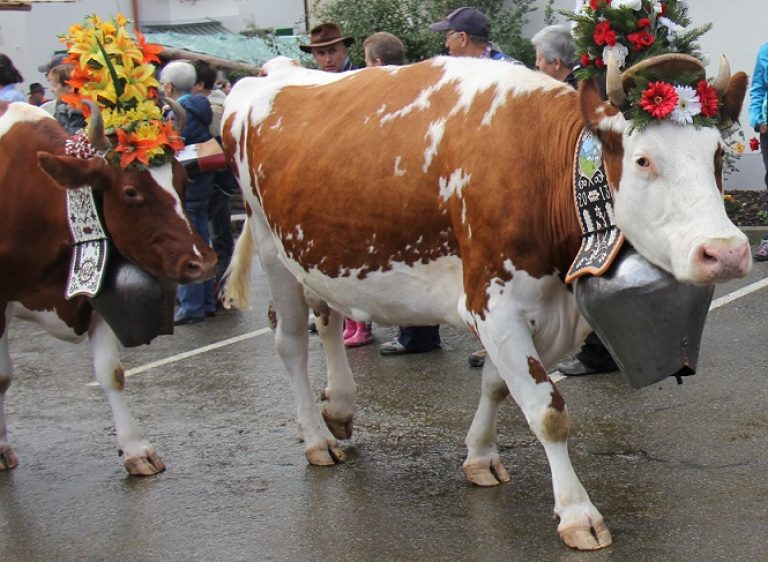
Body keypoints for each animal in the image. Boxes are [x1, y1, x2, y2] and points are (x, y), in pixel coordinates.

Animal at [0, 99, 218, 472]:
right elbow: (2, 377)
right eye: (131, 192)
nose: (201, 263)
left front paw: (136, 450)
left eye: (183, 179)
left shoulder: (99, 296)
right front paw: (1, 447)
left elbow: (111, 373)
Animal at [220, 55, 752, 548]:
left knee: (327, 316)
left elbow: (497, 386)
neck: (542, 168)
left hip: (315, 252)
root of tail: (271, 71)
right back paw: (317, 438)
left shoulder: (540, 312)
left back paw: (340, 408)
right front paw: (577, 513)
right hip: (270, 248)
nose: (726, 252)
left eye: (717, 153)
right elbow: (547, 411)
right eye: (643, 160)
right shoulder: (492, 304)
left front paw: (480, 456)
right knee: (290, 342)